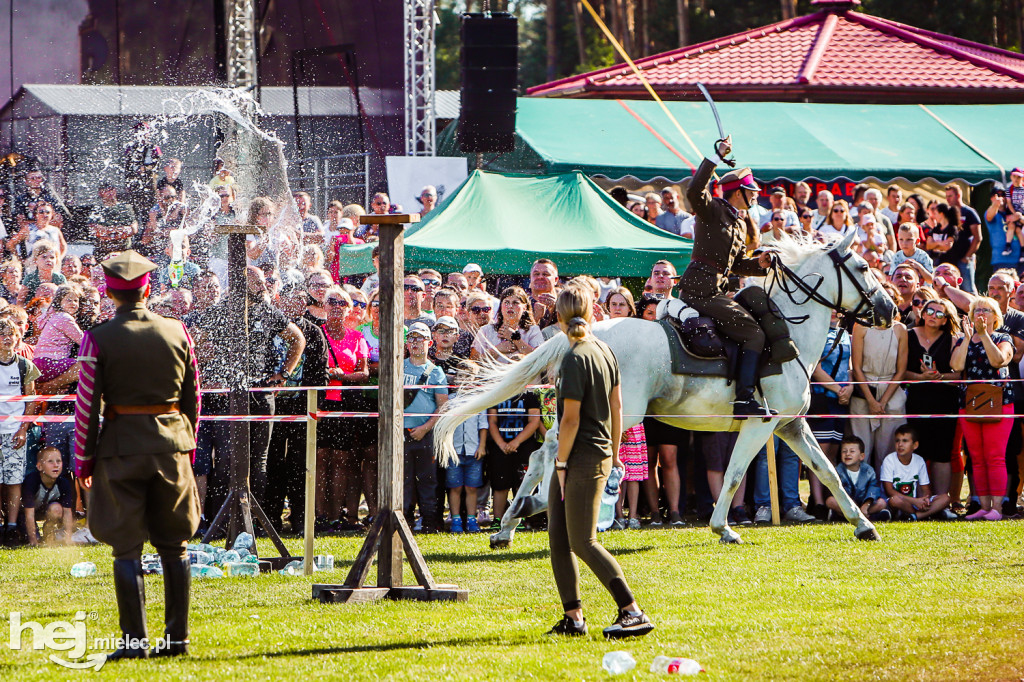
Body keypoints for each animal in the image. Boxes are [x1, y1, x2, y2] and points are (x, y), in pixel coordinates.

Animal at [436, 231, 892, 544]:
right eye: (863, 267)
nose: (889, 309)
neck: (787, 330)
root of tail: (582, 331)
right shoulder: (761, 425)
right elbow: (733, 474)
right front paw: (723, 528)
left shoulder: (790, 425)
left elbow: (828, 472)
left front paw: (863, 524)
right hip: (617, 413)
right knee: (555, 456)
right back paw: (526, 511)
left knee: (542, 454)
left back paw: (510, 522)